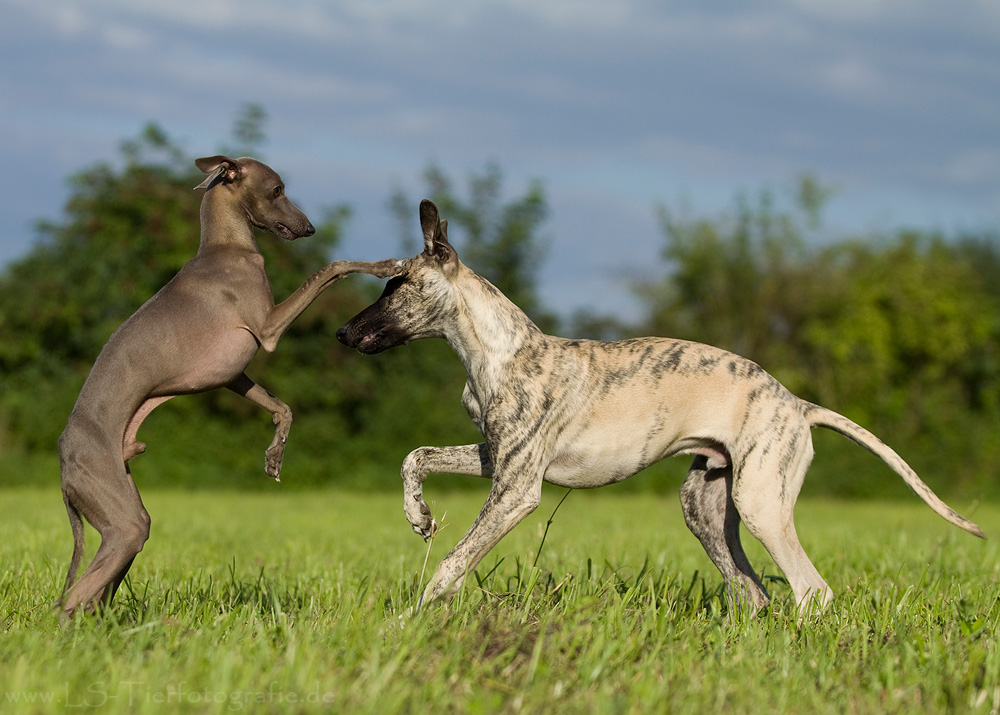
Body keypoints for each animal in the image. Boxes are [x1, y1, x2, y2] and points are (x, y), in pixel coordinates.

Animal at [338, 200, 984, 616]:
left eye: (396, 285)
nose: (343, 334)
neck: (499, 351)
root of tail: (798, 404)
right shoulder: (496, 457)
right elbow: (416, 455)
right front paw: (419, 516)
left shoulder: (517, 489)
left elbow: (452, 564)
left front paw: (411, 623)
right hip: (707, 506)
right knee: (755, 592)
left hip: (762, 505)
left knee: (811, 591)